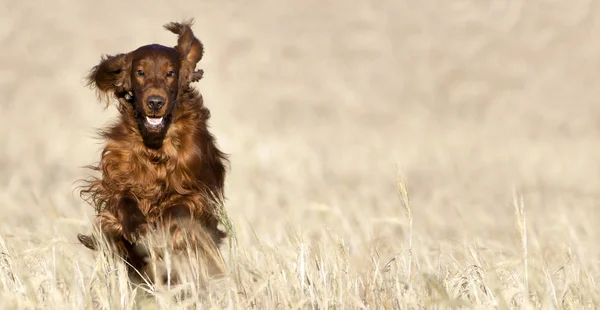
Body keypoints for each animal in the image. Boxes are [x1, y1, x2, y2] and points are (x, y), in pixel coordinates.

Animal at [78, 19, 229, 280]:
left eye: (170, 73)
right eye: (140, 72)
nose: (155, 102)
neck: (156, 145)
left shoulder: (197, 192)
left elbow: (177, 208)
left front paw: (159, 230)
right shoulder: (119, 179)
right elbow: (124, 201)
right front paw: (138, 228)